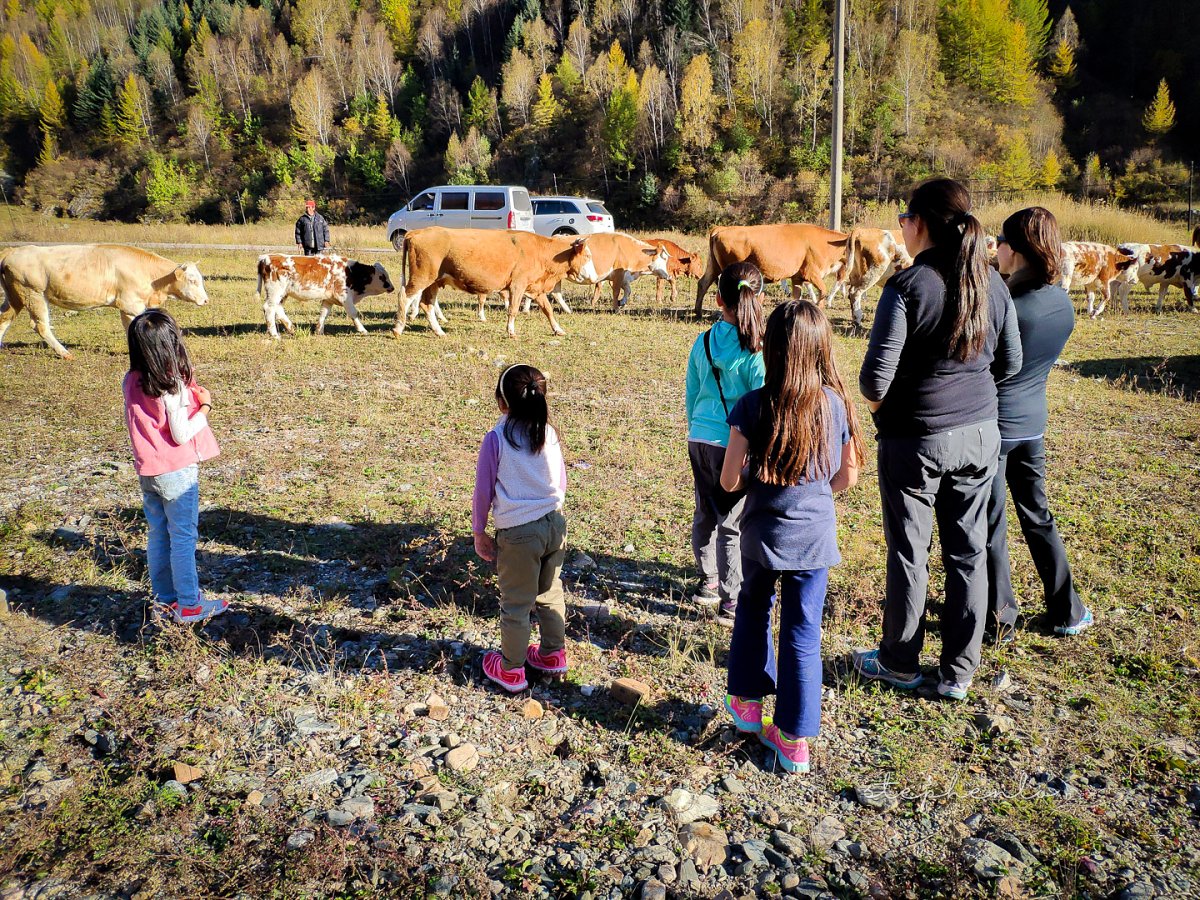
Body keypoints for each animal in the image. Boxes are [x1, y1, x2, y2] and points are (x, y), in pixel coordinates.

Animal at [0, 244, 207, 362]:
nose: (205, 299)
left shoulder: (125, 307)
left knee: (3, 318)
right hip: (33, 294)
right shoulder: (132, 304)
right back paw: (65, 353)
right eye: (192, 280)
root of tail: (12, 251)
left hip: (14, 297)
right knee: (40, 326)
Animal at [691, 225, 849, 316]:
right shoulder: (811, 273)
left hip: (713, 267)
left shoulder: (797, 278)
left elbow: (797, 296)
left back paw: (698, 312)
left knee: (703, 283)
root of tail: (720, 229)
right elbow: (823, 291)